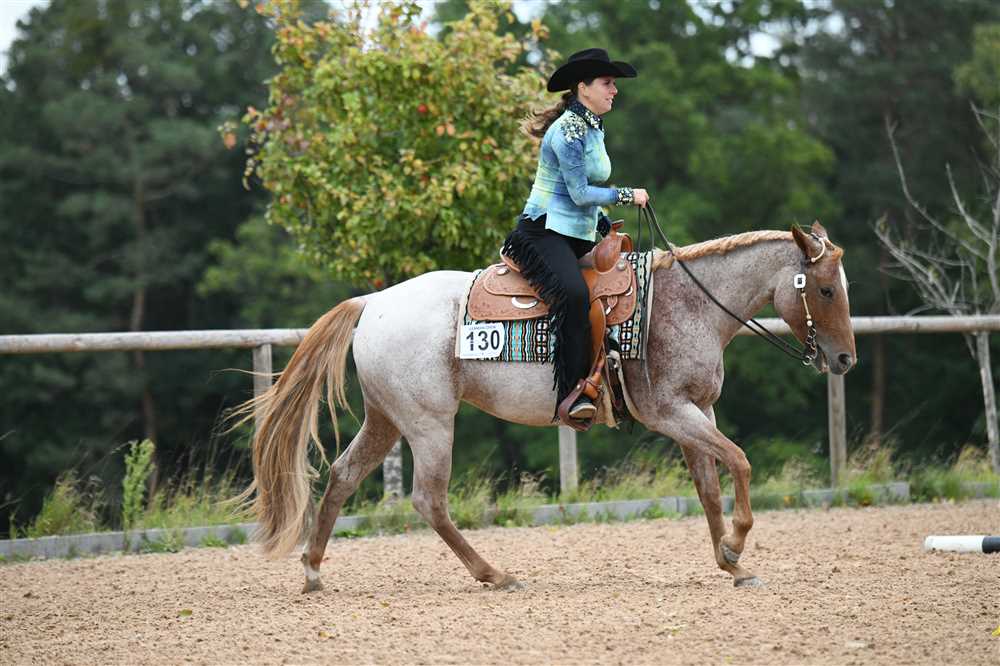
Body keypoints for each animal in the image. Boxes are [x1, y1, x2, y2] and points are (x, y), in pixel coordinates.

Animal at [239, 221, 856, 593]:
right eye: (826, 290)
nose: (846, 359)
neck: (686, 305)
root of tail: (373, 302)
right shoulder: (670, 412)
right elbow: (742, 462)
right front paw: (736, 543)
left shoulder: (699, 413)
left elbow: (710, 484)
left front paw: (732, 562)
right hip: (430, 424)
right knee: (428, 500)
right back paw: (495, 574)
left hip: (386, 419)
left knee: (343, 476)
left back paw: (313, 572)